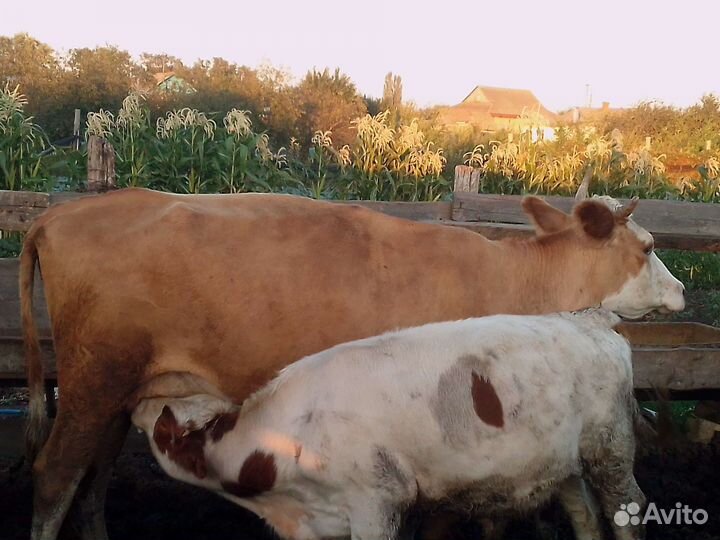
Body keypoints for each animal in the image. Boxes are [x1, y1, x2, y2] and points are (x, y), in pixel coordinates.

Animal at [131, 309, 644, 540]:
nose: (135, 405)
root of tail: (592, 317)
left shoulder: (379, 497)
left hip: (612, 443)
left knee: (627, 505)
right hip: (565, 459)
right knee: (585, 512)